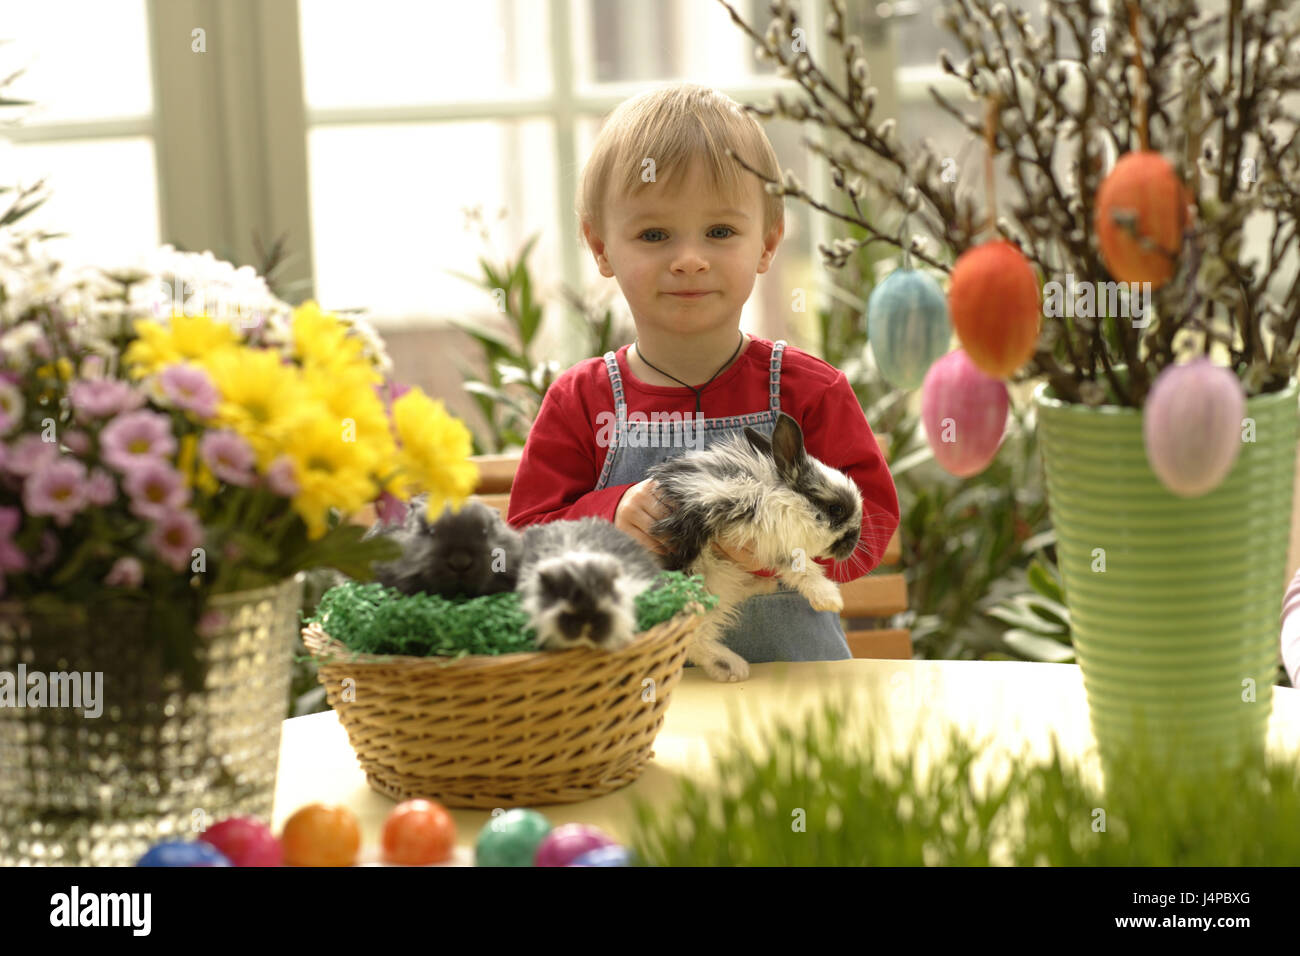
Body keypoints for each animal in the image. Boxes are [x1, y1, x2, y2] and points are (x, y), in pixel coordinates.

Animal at [647, 416, 868, 686]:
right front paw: (830, 600)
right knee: (693, 638)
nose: (853, 543)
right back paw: (733, 666)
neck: (778, 494)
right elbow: (802, 568)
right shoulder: (768, 536)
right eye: (836, 509)